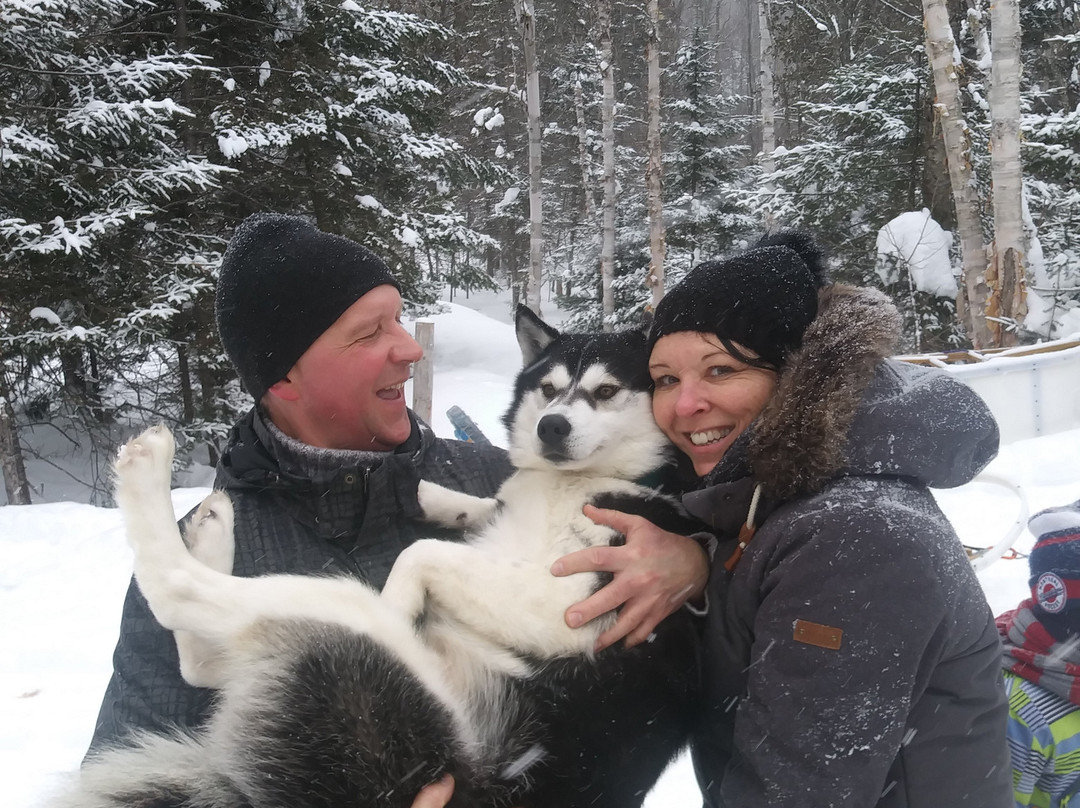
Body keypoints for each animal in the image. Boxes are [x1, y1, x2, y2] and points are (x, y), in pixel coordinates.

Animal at [71, 306, 704, 808]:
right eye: (548, 390)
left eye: (606, 391)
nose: (551, 427)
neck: (580, 483)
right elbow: (482, 507)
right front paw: (440, 498)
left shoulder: (571, 603)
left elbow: (421, 553)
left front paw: (403, 599)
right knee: (200, 658)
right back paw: (211, 525)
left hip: (346, 627)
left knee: (176, 591)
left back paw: (149, 470)